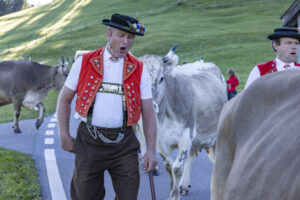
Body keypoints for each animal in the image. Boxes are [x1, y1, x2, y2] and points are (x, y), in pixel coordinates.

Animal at [137, 45, 226, 200]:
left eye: (161, 78)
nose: (151, 106)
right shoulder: (159, 141)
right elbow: (169, 166)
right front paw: (174, 188)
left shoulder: (186, 135)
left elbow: (177, 168)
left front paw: (174, 196)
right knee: (190, 157)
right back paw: (183, 185)